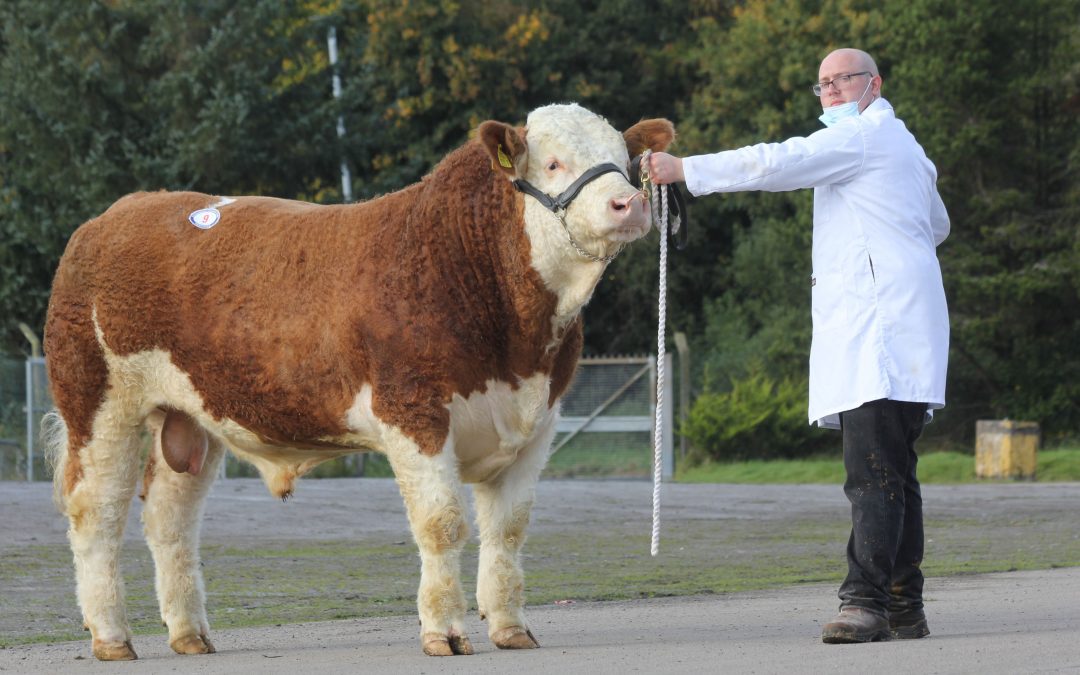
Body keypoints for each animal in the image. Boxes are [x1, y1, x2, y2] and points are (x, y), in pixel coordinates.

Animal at [44, 104, 673, 656]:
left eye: (623, 157)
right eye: (554, 164)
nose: (630, 202)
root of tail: (114, 216)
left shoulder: (538, 420)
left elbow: (509, 530)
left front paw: (511, 628)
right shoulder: (414, 412)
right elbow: (442, 524)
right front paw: (444, 633)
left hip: (189, 418)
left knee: (169, 520)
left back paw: (190, 635)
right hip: (98, 403)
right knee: (96, 513)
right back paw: (111, 637)